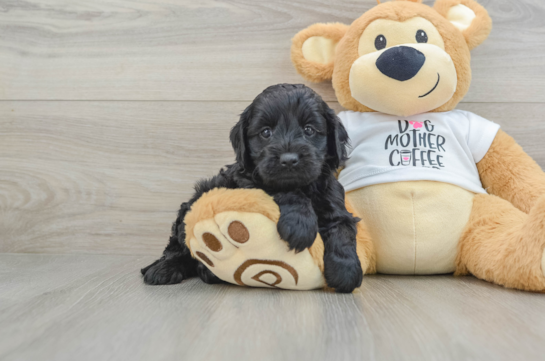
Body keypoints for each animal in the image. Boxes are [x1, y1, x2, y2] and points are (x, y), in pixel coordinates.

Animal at [141, 84, 362, 292]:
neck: (305, 186)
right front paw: (300, 225)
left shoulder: (334, 199)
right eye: (265, 132)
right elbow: (286, 192)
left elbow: (343, 229)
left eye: (309, 130)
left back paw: (206, 272)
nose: (289, 160)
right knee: (178, 247)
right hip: (190, 207)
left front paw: (346, 271)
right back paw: (164, 269)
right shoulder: (250, 180)